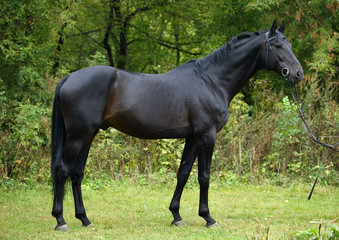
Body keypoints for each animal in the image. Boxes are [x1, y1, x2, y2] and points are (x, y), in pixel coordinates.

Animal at [51, 20, 304, 231]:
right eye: (278, 45)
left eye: (290, 44)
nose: (298, 74)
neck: (212, 81)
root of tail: (69, 78)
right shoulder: (206, 136)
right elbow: (204, 177)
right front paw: (208, 218)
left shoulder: (192, 138)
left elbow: (182, 174)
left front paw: (176, 216)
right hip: (78, 136)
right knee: (62, 170)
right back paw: (61, 220)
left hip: (88, 135)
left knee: (76, 173)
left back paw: (84, 219)